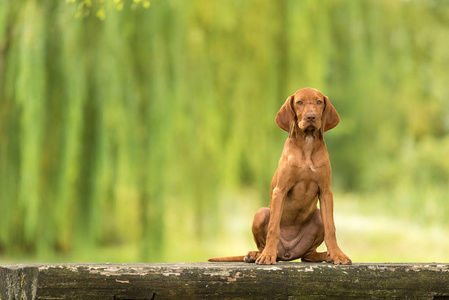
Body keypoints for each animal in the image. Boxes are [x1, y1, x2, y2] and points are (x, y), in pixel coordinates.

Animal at [208, 87, 352, 264]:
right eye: (299, 102)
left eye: (319, 102)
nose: (311, 116)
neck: (307, 145)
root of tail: (287, 254)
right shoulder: (280, 190)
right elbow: (273, 227)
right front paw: (267, 256)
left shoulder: (326, 192)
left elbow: (331, 228)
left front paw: (338, 255)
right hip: (261, 213)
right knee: (264, 243)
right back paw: (257, 254)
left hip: (317, 217)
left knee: (307, 255)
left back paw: (326, 255)